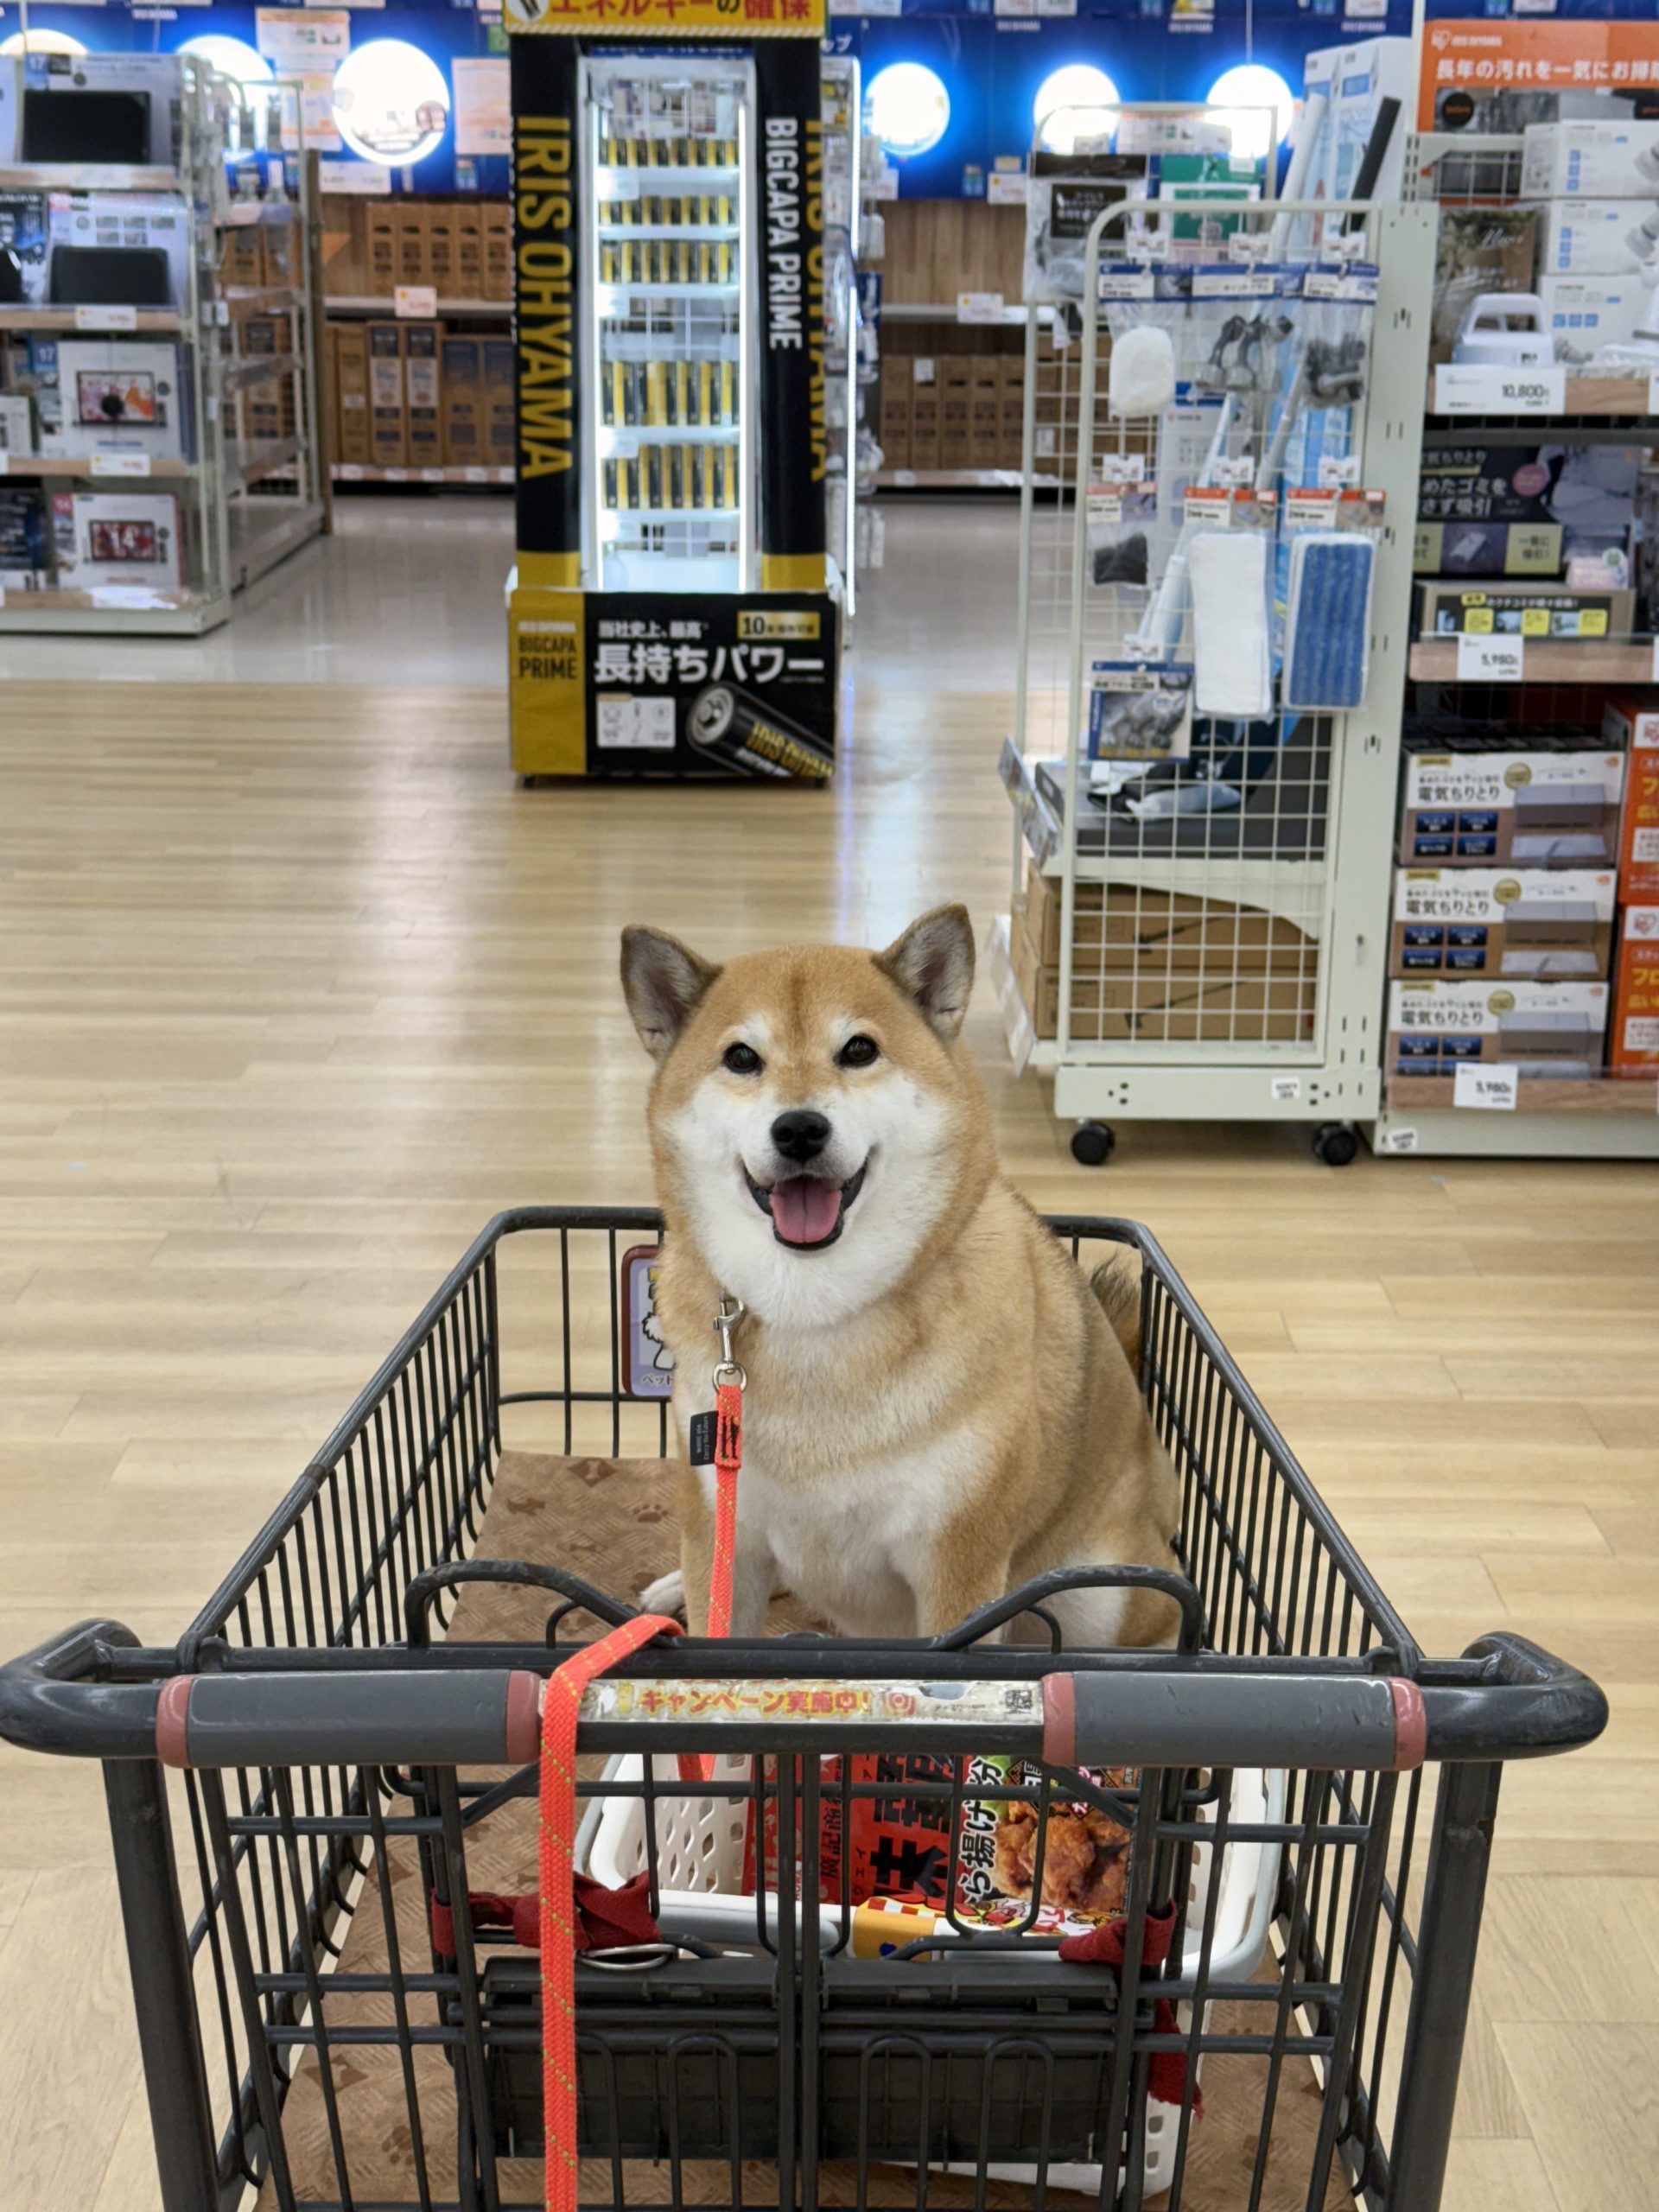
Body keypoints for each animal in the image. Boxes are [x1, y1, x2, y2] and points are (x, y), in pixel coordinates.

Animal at [621, 905, 1184, 1648]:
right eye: (741, 1058)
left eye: (859, 1050)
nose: (799, 1129)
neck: (818, 1314)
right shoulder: (729, 1534)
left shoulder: (959, 1571)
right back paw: (669, 1593)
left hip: (1101, 1595)